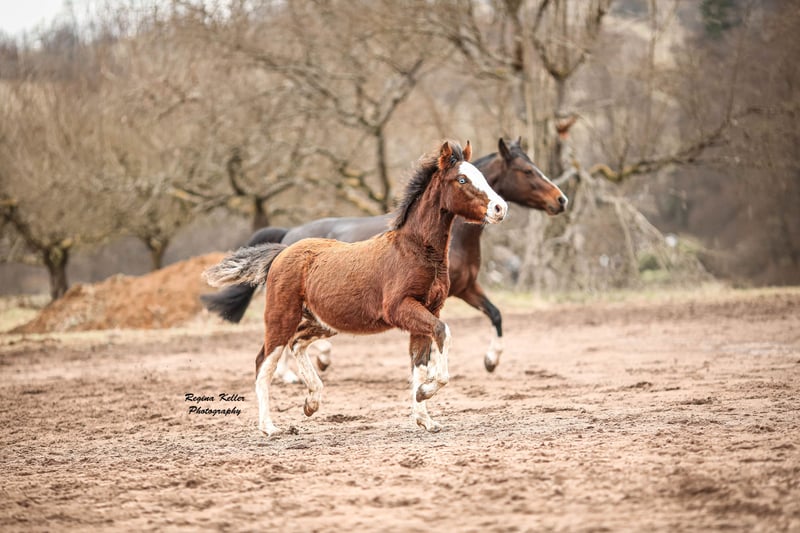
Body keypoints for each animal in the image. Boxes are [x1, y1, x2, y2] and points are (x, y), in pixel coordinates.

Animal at [201, 137, 567, 377]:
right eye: (527, 170)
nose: (561, 200)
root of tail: (289, 237)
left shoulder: (466, 288)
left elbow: (496, 315)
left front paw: (491, 361)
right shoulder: (446, 295)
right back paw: (300, 368)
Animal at [204, 140, 507, 436]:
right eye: (462, 179)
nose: (500, 208)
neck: (414, 251)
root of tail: (281, 252)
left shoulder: (428, 310)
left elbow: (419, 363)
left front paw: (425, 418)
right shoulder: (401, 309)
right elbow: (442, 335)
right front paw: (425, 393)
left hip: (322, 322)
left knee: (297, 342)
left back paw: (311, 402)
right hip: (282, 317)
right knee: (264, 362)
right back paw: (269, 426)